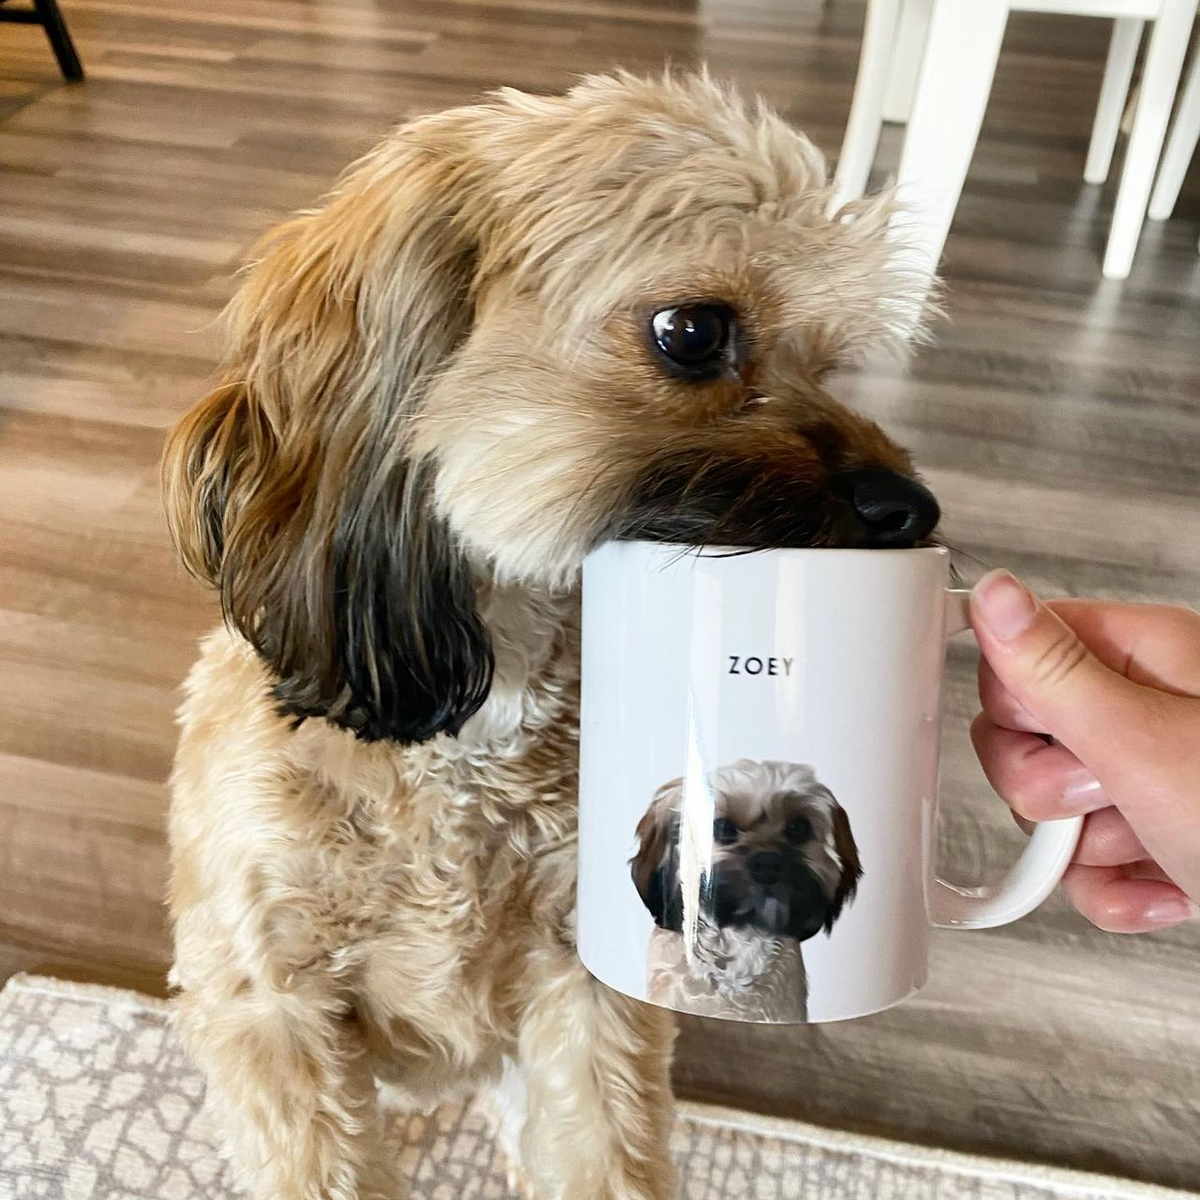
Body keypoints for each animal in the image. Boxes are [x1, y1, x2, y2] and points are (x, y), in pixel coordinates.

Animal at [164, 72, 940, 1200]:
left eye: (829, 363)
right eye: (692, 333)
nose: (915, 511)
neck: (466, 733)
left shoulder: (585, 992)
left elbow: (601, 1150)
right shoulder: (274, 1013)